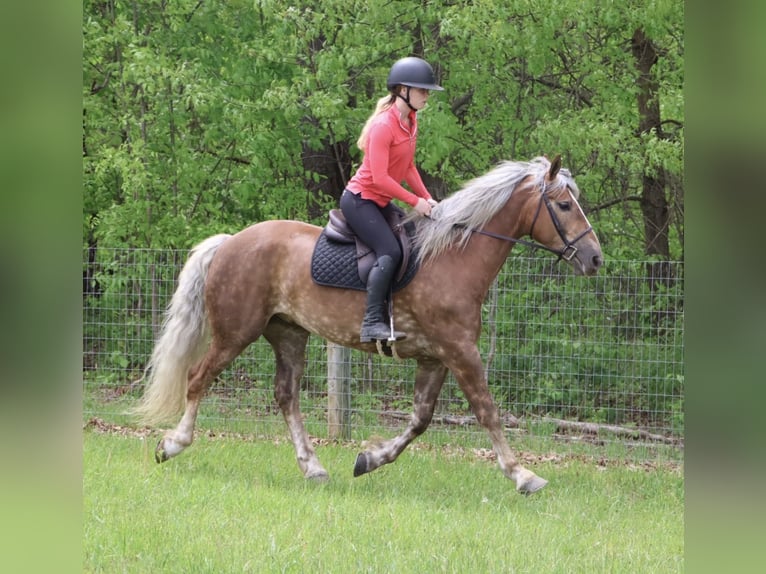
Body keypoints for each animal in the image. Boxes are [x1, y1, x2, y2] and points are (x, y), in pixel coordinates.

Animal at [133, 155, 603, 495]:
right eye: (564, 205)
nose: (595, 258)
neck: (452, 258)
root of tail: (231, 241)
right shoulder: (460, 352)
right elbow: (487, 411)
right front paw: (523, 475)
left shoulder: (436, 358)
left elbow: (420, 420)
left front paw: (369, 460)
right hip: (236, 333)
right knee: (198, 378)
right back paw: (172, 444)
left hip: (288, 333)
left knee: (286, 396)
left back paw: (314, 468)